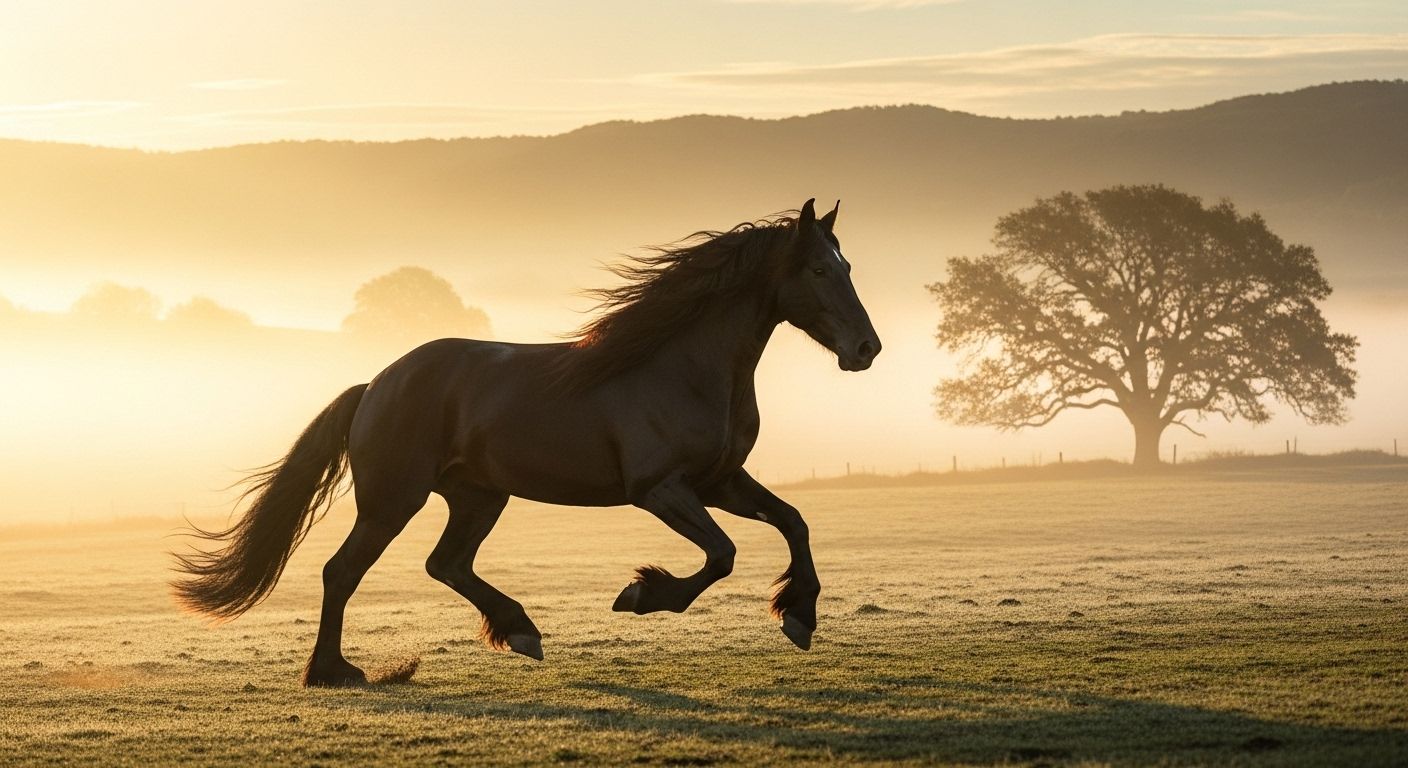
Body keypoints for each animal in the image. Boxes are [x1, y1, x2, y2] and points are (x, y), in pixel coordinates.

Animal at [172, 199, 881, 687]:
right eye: (819, 269)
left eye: (847, 265)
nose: (866, 349)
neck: (681, 366)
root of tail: (376, 383)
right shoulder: (660, 490)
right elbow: (723, 554)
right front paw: (643, 596)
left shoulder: (721, 481)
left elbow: (794, 522)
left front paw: (799, 615)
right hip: (393, 500)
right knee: (342, 571)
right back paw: (333, 672)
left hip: (478, 496)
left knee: (446, 564)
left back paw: (519, 631)